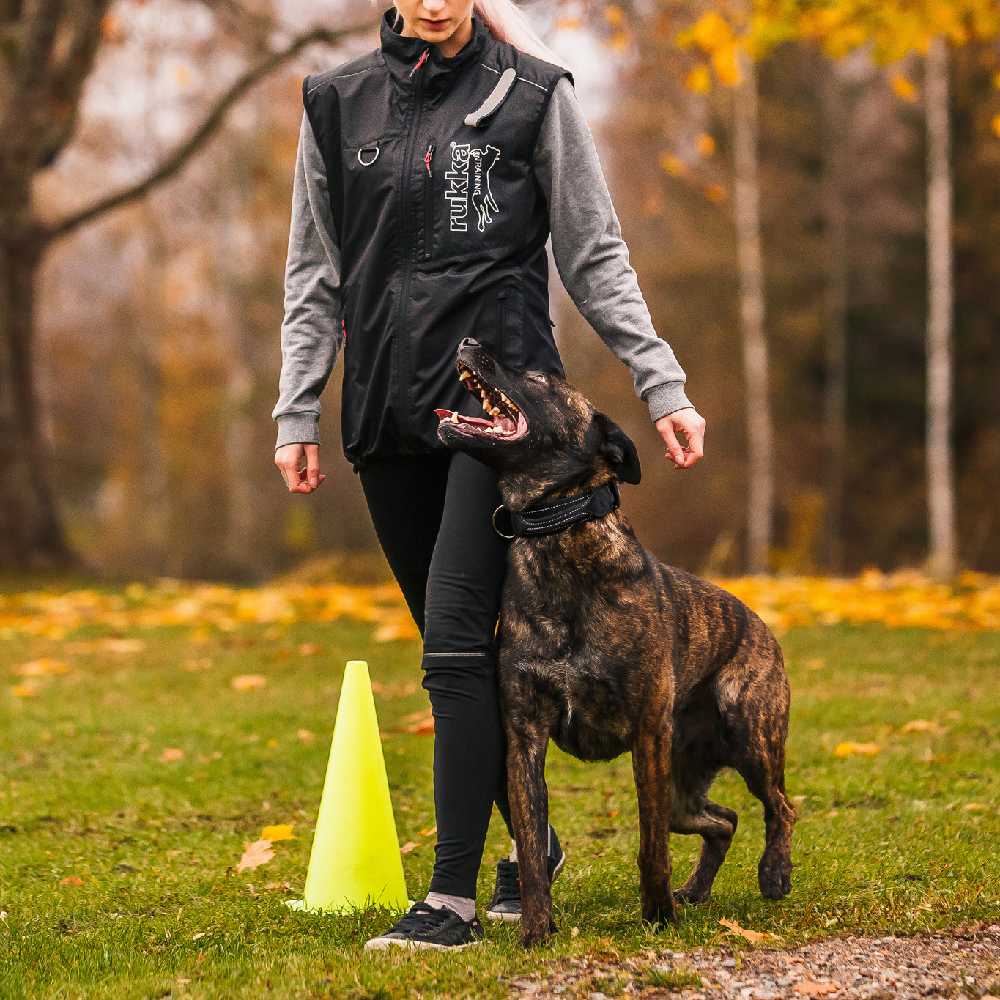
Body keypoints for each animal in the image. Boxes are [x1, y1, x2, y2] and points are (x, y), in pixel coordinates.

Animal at [438, 338, 796, 944]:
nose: (467, 341)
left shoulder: (647, 736)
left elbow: (651, 849)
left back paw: (773, 874)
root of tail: (759, 624)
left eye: (539, 378)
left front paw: (658, 918)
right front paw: (536, 929)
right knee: (724, 821)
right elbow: (530, 847)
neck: (559, 537)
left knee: (780, 808)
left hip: (751, 739)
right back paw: (697, 890)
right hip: (683, 789)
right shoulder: (525, 738)